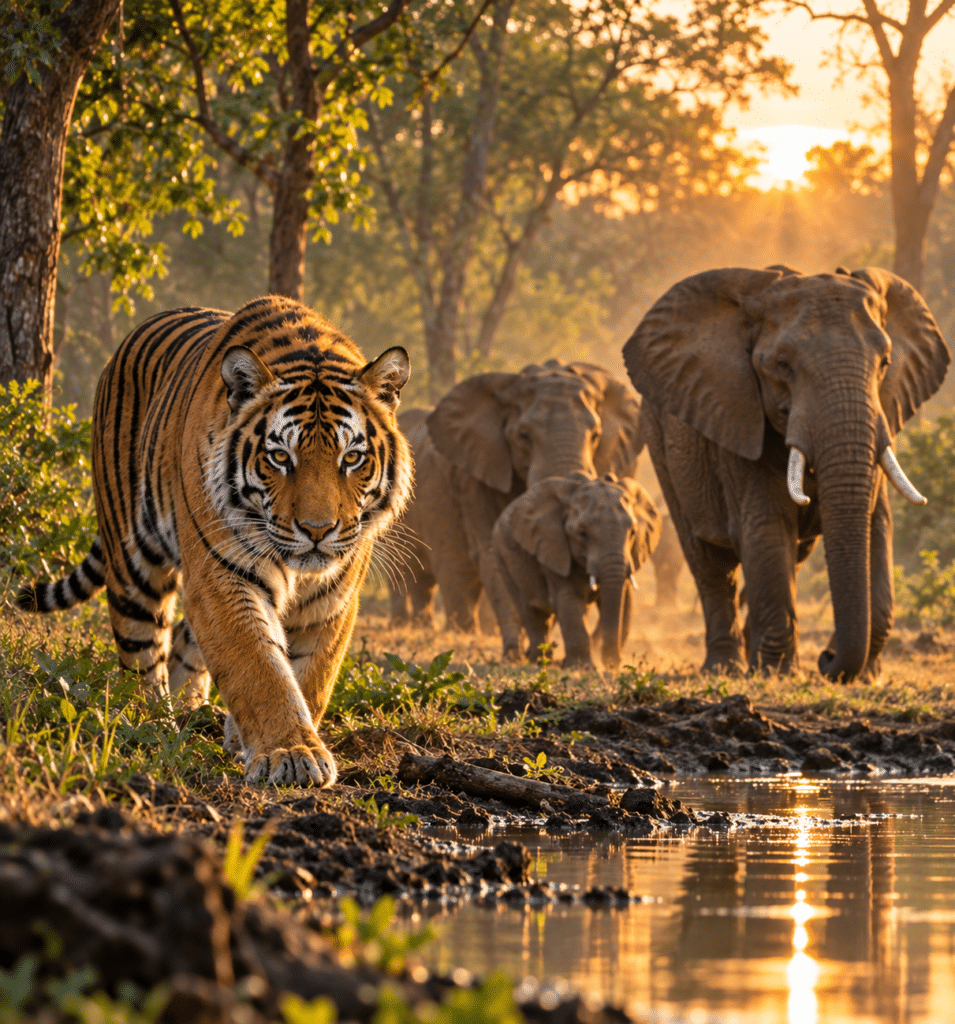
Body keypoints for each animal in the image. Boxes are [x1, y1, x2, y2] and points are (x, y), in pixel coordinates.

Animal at [17, 295, 412, 787]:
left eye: (352, 458)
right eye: (280, 457)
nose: (317, 530)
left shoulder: (333, 596)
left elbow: (310, 676)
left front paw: (260, 740)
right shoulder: (222, 573)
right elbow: (258, 665)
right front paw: (291, 753)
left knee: (185, 649)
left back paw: (193, 713)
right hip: (133, 566)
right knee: (142, 657)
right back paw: (154, 725)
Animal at [390, 360, 643, 653]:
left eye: (595, 436)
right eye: (523, 435)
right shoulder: (473, 475)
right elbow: (488, 550)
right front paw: (515, 650)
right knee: (442, 568)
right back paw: (445, 631)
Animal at [492, 472, 660, 668]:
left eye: (633, 532)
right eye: (582, 534)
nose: (611, 663)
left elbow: (619, 599)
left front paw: (607, 665)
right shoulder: (554, 549)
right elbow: (569, 599)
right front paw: (584, 668)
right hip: (502, 554)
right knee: (529, 610)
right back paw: (538, 660)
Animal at [623, 264, 949, 681]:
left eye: (885, 363)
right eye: (782, 365)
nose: (826, 658)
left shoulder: (881, 419)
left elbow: (876, 525)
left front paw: (866, 677)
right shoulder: (739, 416)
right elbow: (767, 526)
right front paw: (776, 675)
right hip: (658, 438)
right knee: (708, 562)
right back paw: (724, 668)